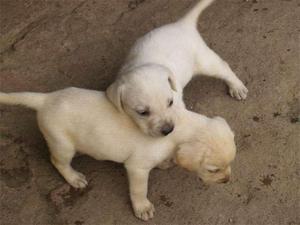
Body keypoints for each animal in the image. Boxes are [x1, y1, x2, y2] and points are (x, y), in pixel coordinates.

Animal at [0, 87, 236, 220]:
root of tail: (46, 99)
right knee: (57, 161)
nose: (226, 180)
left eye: (229, 165)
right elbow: (139, 190)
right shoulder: (137, 168)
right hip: (62, 144)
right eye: (213, 170)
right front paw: (142, 208)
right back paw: (73, 177)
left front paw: (166, 163)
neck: (180, 126)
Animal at [106, 0, 247, 137]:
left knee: (223, 67)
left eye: (170, 103)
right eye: (142, 112)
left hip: (205, 61)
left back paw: (237, 87)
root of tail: (182, 24)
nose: (168, 130)